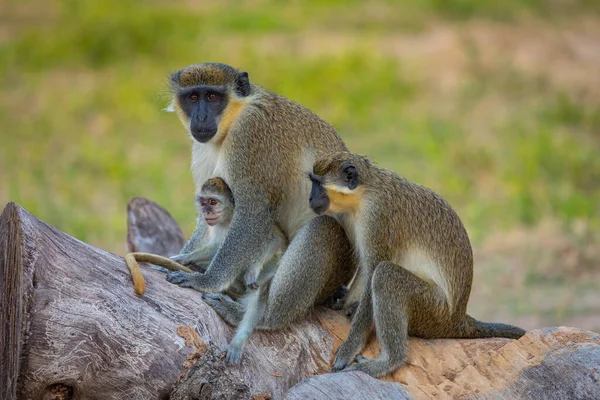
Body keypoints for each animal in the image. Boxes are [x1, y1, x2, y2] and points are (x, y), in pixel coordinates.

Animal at [310, 151, 524, 378]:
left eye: (318, 184)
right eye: (312, 182)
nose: (310, 198)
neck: (364, 192)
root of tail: (457, 320)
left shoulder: (377, 217)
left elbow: (373, 270)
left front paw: (351, 345)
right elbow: (365, 267)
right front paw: (343, 303)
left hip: (433, 310)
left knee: (386, 275)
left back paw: (389, 362)